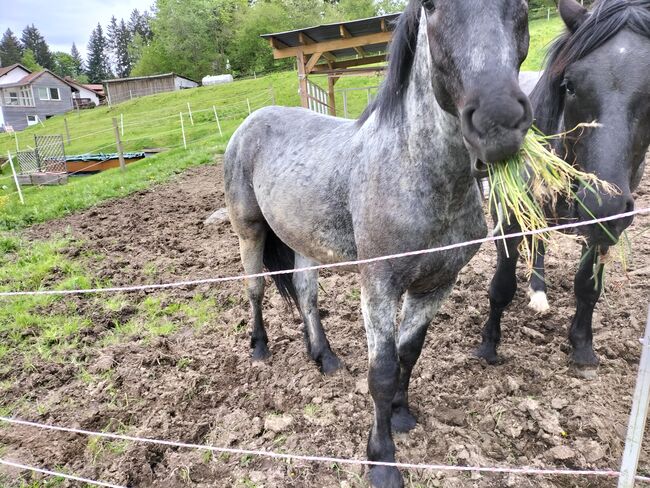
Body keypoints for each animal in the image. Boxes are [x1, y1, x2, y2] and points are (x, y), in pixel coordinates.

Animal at [225, 0, 528, 484]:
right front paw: (382, 458)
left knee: (307, 295)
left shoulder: (436, 284)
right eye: (432, 7)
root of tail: (251, 122)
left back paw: (324, 357)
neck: (417, 173)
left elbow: (409, 352)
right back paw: (259, 348)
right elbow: (382, 371)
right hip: (248, 230)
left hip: (303, 241)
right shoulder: (380, 285)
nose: (498, 119)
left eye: (521, 7)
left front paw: (402, 414)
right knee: (254, 288)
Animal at [474, 0, 648, 366]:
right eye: (569, 85)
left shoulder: (602, 232)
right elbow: (501, 286)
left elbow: (587, 286)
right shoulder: (509, 216)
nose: (602, 204)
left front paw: (582, 347)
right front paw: (488, 345)